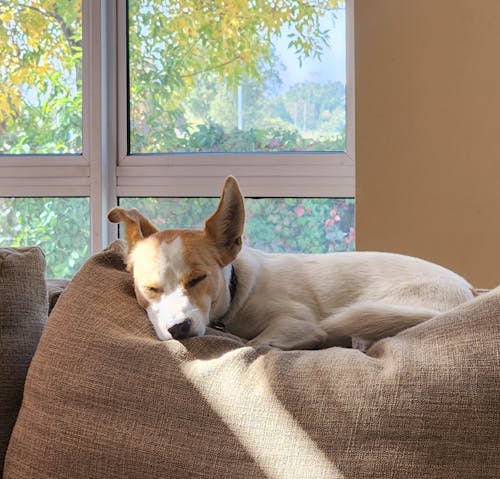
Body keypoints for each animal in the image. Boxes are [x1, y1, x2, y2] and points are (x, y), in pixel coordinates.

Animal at [107, 175, 474, 348]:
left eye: (198, 279)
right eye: (150, 289)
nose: (178, 329)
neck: (239, 293)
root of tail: (467, 293)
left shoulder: (296, 322)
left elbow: (255, 343)